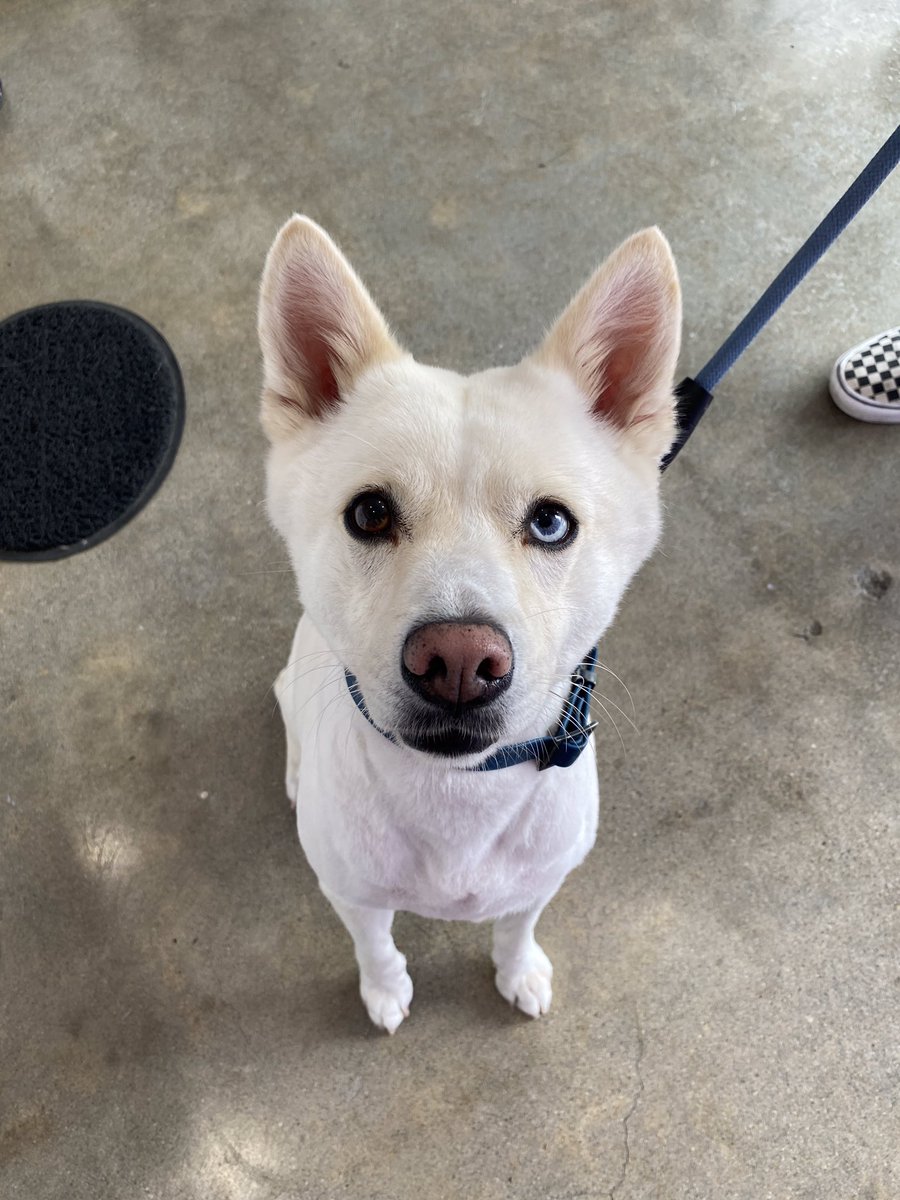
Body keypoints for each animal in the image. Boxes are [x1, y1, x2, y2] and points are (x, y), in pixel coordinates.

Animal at [256, 216, 681, 1032]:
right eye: (369, 512)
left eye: (551, 522)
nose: (457, 660)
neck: (455, 798)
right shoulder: (353, 897)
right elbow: (375, 945)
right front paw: (384, 991)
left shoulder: (541, 883)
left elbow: (516, 928)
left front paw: (519, 973)